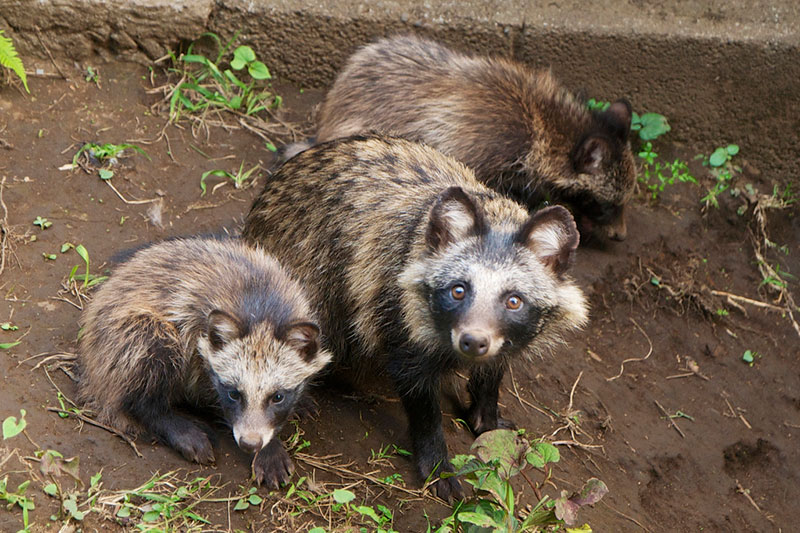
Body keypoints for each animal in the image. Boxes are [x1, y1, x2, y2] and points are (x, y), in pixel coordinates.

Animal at [77, 237, 332, 486]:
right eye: (234, 394)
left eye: (278, 397)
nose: (250, 444)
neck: (263, 313)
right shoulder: (195, 332)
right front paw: (269, 447)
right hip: (123, 336)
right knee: (152, 349)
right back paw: (166, 419)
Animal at [239, 136, 588, 498]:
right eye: (459, 290)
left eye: (514, 301)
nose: (473, 341)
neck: (497, 217)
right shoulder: (393, 310)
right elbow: (420, 397)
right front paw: (436, 462)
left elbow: (494, 370)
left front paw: (486, 415)